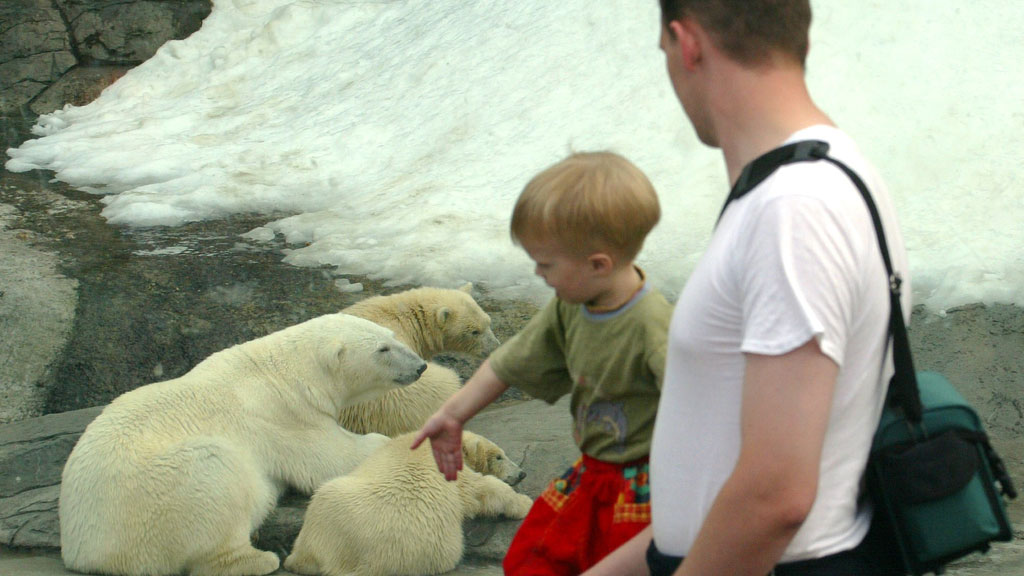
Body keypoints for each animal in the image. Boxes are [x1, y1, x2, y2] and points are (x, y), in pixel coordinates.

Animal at [58, 313, 425, 573]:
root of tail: (83, 552)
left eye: (393, 337)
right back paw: (262, 559)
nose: (420, 366)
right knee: (215, 479)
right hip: (155, 498)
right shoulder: (284, 416)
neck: (289, 373)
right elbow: (329, 457)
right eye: (382, 349)